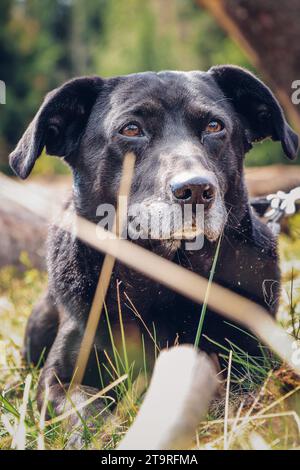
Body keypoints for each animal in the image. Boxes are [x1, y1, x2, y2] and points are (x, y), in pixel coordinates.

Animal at [9, 65, 298, 430]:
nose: (196, 189)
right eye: (131, 129)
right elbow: (88, 411)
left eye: (214, 126)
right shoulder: (57, 379)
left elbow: (240, 392)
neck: (165, 275)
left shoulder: (255, 358)